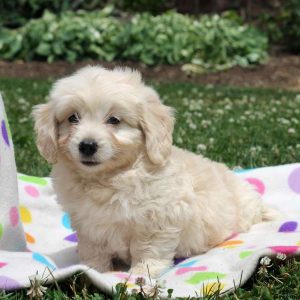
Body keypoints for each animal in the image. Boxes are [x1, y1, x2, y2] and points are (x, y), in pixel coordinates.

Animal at [32, 67, 276, 278]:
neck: (109, 178)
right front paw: (93, 270)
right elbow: (94, 249)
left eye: (114, 120)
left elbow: (148, 250)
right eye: (73, 118)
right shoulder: (88, 224)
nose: (87, 145)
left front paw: (141, 274)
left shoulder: (158, 219)